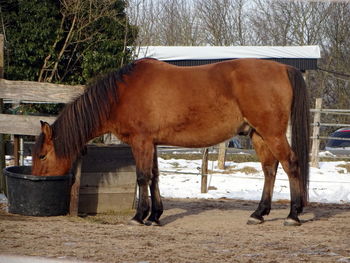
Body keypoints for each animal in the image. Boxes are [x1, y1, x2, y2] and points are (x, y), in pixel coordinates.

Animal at [32, 58, 310, 227]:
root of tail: (284, 68)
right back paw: (259, 213)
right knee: (269, 170)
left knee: (291, 165)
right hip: (258, 135)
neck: (121, 94)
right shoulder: (152, 143)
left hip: (272, 133)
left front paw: (139, 216)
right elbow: (155, 176)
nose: (36, 181)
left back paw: (293, 214)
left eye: (42, 156)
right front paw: (155, 216)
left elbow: (142, 177)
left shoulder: (141, 141)